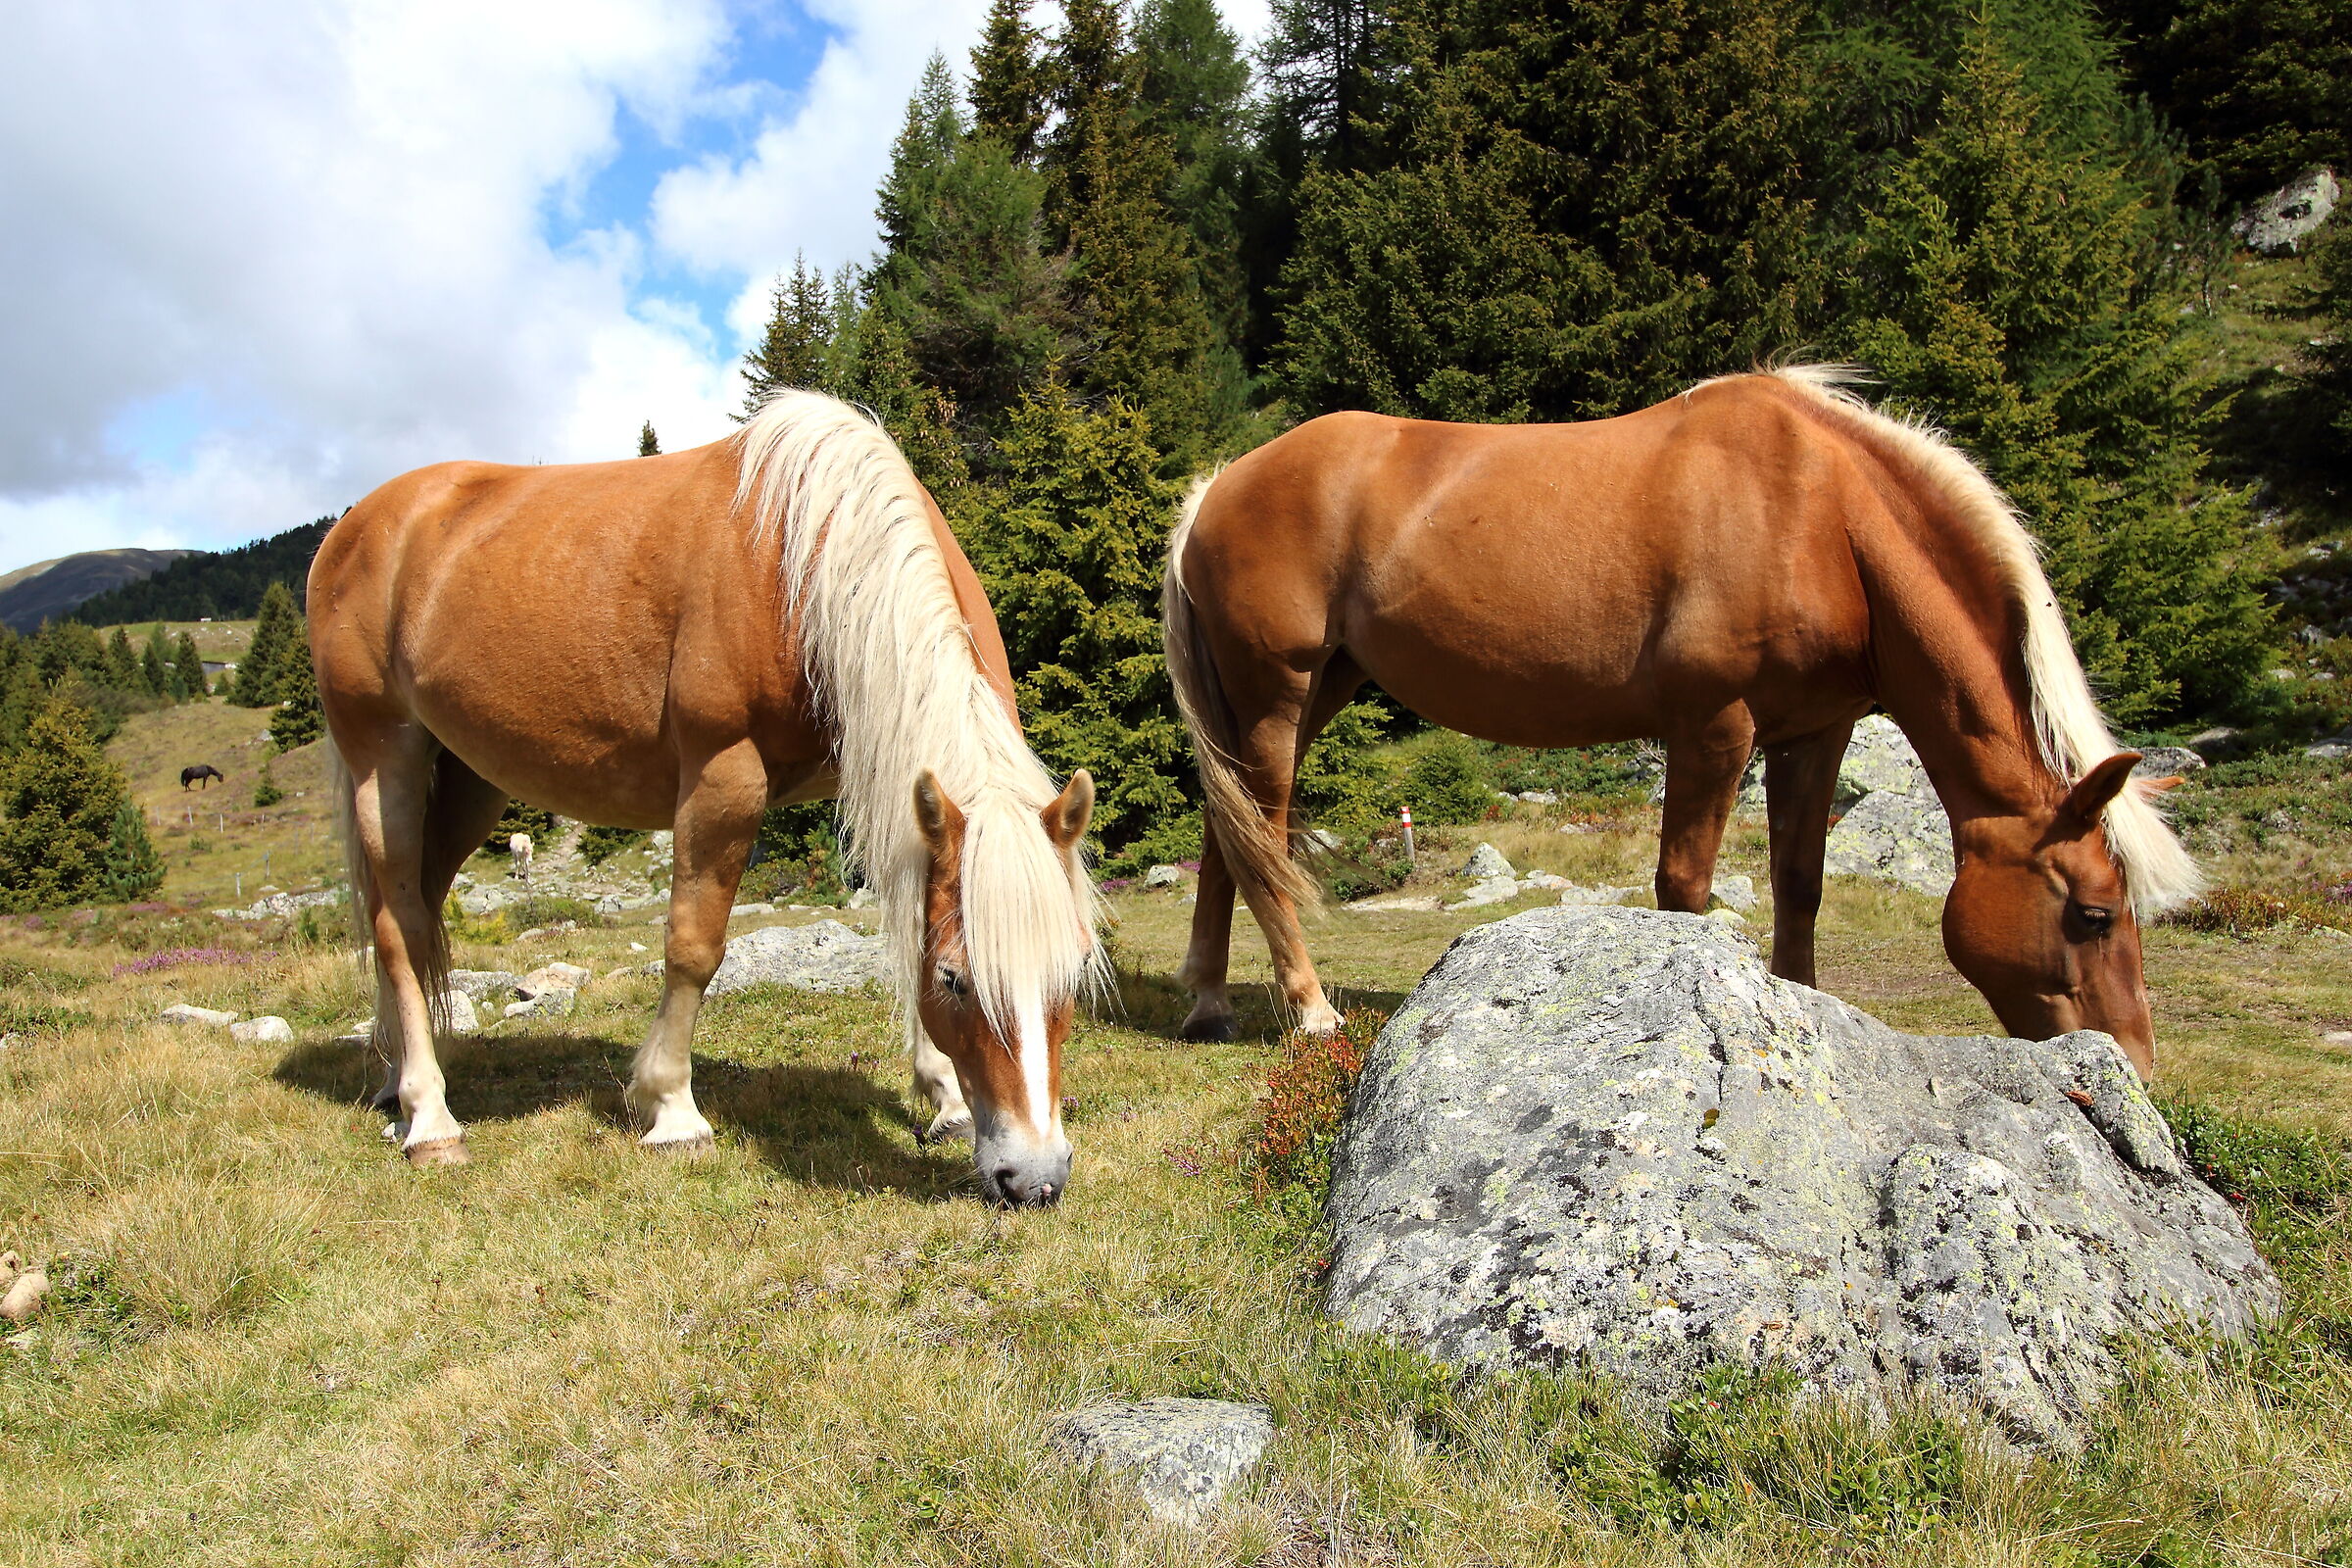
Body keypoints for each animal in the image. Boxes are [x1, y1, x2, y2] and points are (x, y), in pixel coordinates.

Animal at [309, 391, 1102, 1205]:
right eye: (955, 980)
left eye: (1075, 970)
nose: (1034, 1178)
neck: (803, 560)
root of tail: (361, 522)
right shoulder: (725, 776)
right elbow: (693, 946)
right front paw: (671, 1109)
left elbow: (903, 918)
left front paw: (942, 1096)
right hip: (385, 761)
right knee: (398, 927)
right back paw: (429, 1117)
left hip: (471, 783)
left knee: (416, 910)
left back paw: (391, 1077)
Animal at [1161, 366, 2199, 1076]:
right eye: (2093, 914)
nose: (2134, 1069)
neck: (1822, 516)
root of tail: (1221, 484)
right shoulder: (1714, 729)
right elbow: (1686, 889)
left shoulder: (1811, 734)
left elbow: (1798, 886)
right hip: (1279, 696)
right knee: (1263, 842)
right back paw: (1309, 1010)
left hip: (1305, 696)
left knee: (1229, 834)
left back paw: (1208, 1005)